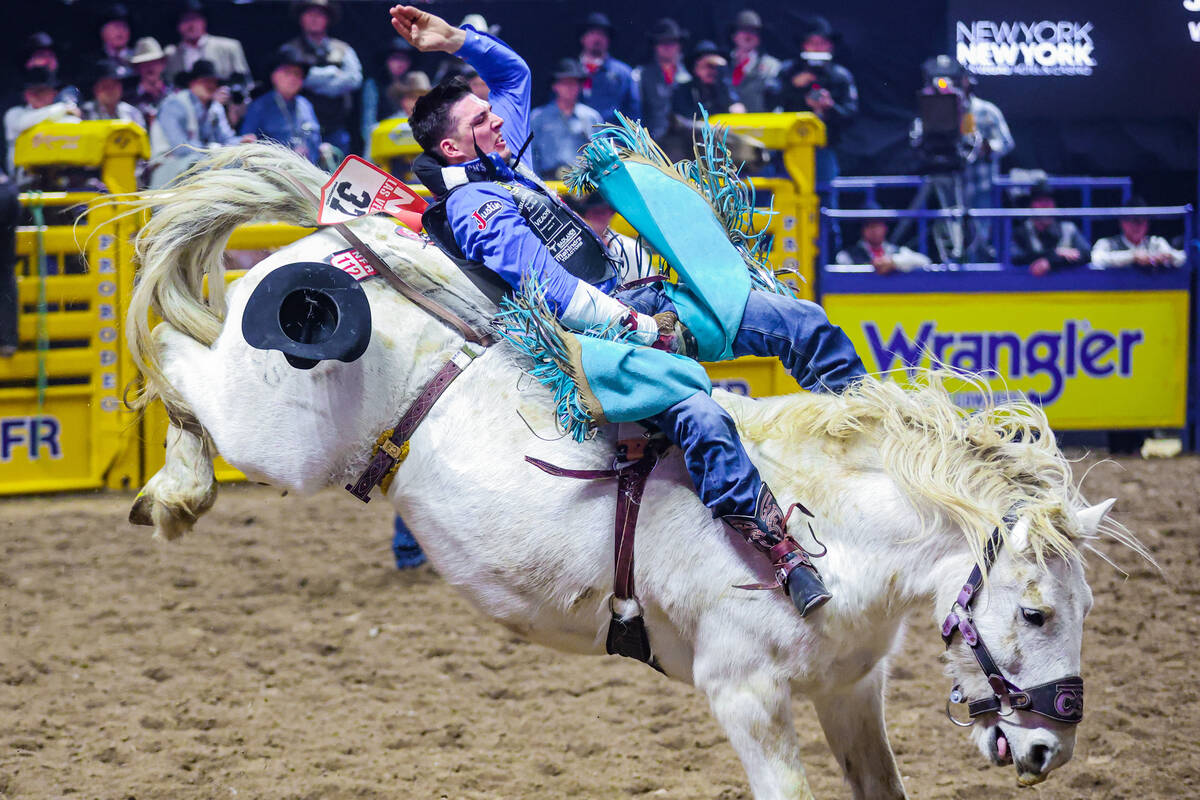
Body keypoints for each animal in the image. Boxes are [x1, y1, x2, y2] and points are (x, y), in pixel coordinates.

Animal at [119, 143, 1132, 800]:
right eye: (1035, 613)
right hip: (269, 433)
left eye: (1087, 610)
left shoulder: (852, 693)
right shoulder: (747, 696)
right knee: (172, 352)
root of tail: (325, 247)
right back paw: (173, 493)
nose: (1049, 749)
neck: (835, 532)